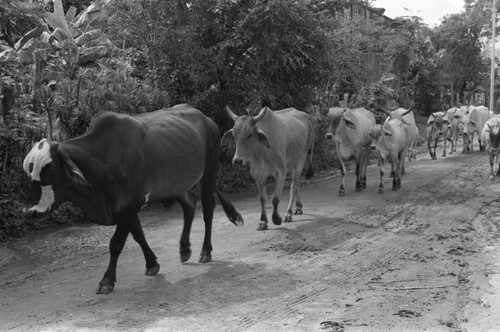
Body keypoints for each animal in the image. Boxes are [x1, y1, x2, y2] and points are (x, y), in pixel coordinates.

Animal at [22, 104, 245, 294]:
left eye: (50, 169)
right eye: (28, 171)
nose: (29, 212)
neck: (100, 160)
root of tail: (206, 119)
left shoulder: (129, 205)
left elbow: (116, 244)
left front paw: (107, 281)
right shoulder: (127, 208)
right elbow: (138, 235)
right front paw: (152, 264)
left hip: (209, 172)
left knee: (207, 210)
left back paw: (205, 251)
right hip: (175, 183)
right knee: (190, 206)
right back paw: (184, 249)